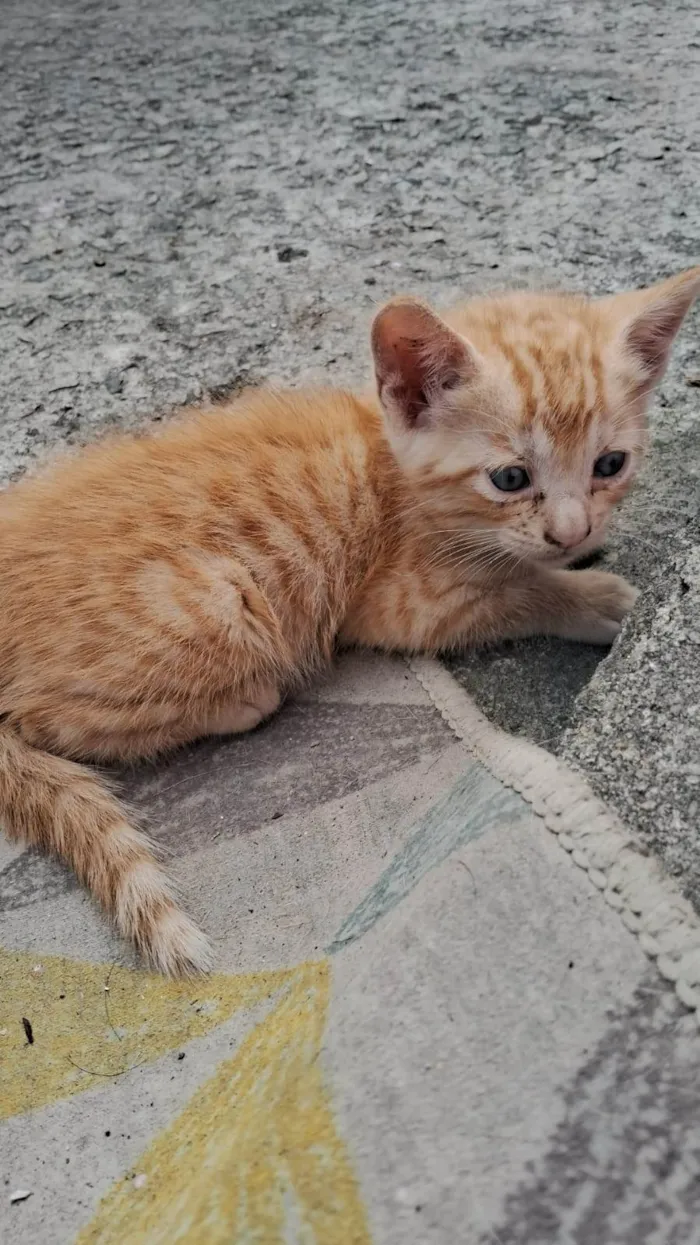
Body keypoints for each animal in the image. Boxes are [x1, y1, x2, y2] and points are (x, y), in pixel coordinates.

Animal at [0, 270, 692, 971]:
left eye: (610, 465)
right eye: (510, 478)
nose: (573, 530)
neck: (395, 468)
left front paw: (582, 553)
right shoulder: (405, 604)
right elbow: (521, 591)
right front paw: (596, 595)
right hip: (222, 604)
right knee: (50, 721)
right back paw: (244, 701)